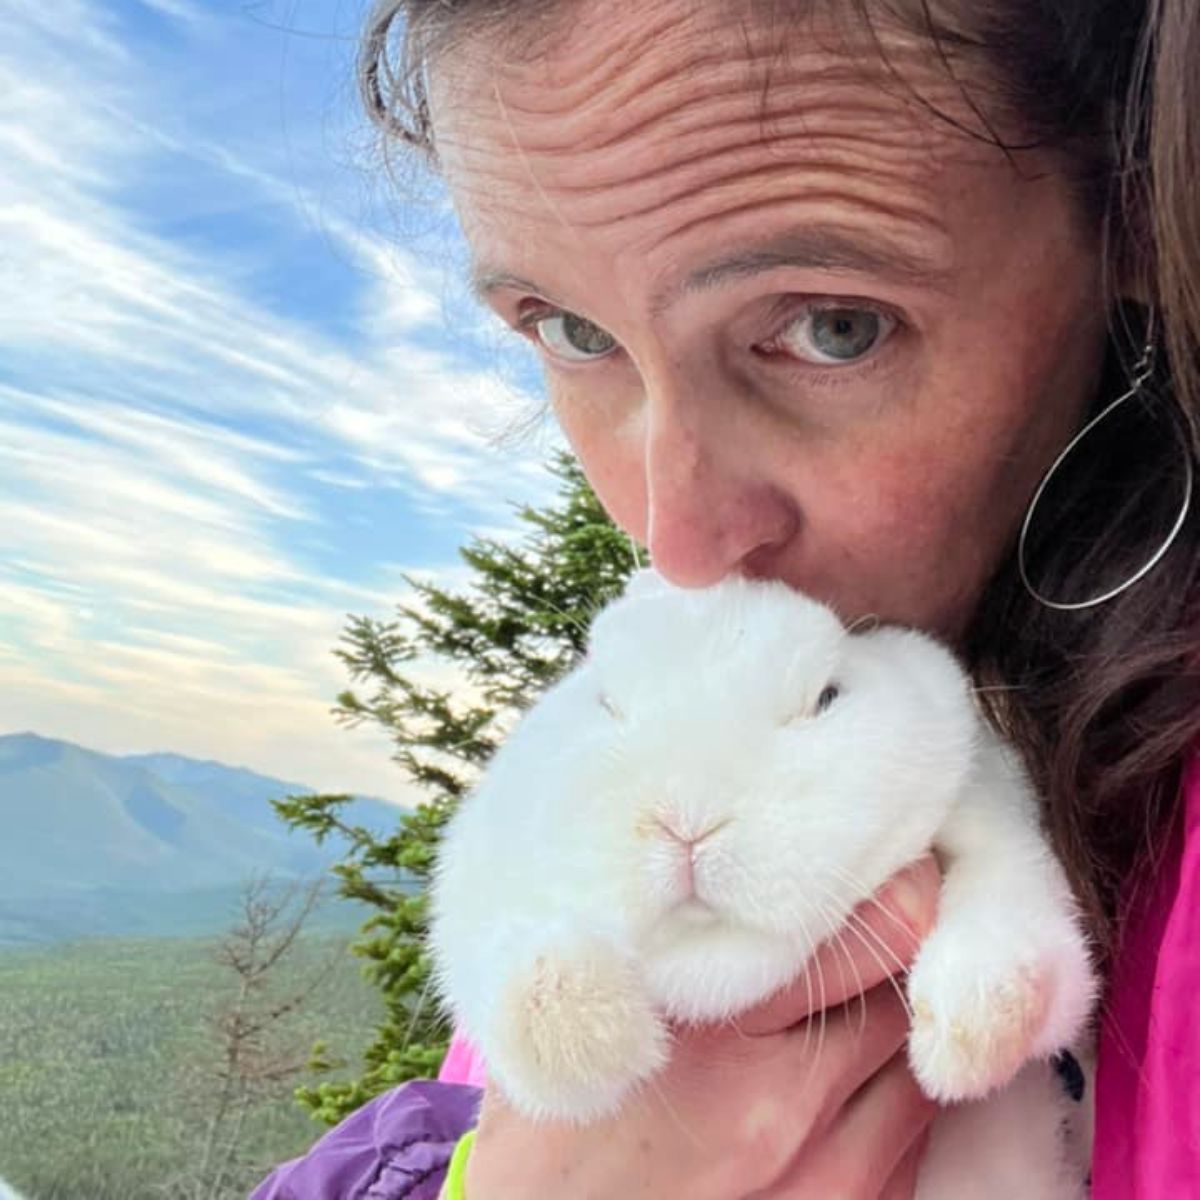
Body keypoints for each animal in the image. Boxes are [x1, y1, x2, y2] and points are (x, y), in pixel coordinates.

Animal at [432, 576, 1099, 1195]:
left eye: (828, 697)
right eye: (606, 701)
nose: (688, 821)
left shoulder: (997, 821)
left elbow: (1013, 906)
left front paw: (969, 1034)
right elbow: (504, 948)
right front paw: (588, 1033)